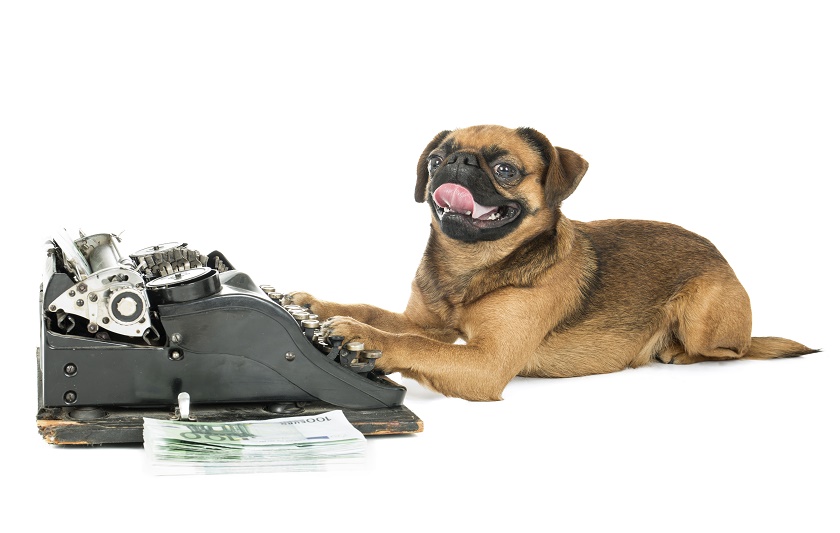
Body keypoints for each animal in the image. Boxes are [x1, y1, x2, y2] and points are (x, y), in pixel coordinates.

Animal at [292, 124, 816, 400]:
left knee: (731, 350)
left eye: (504, 169)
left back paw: (674, 351)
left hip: (702, 314)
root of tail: (722, 259)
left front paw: (361, 337)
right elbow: (375, 312)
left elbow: (410, 344)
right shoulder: (427, 323)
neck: (471, 267)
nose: (457, 162)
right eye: (436, 159)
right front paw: (317, 306)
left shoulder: (485, 363)